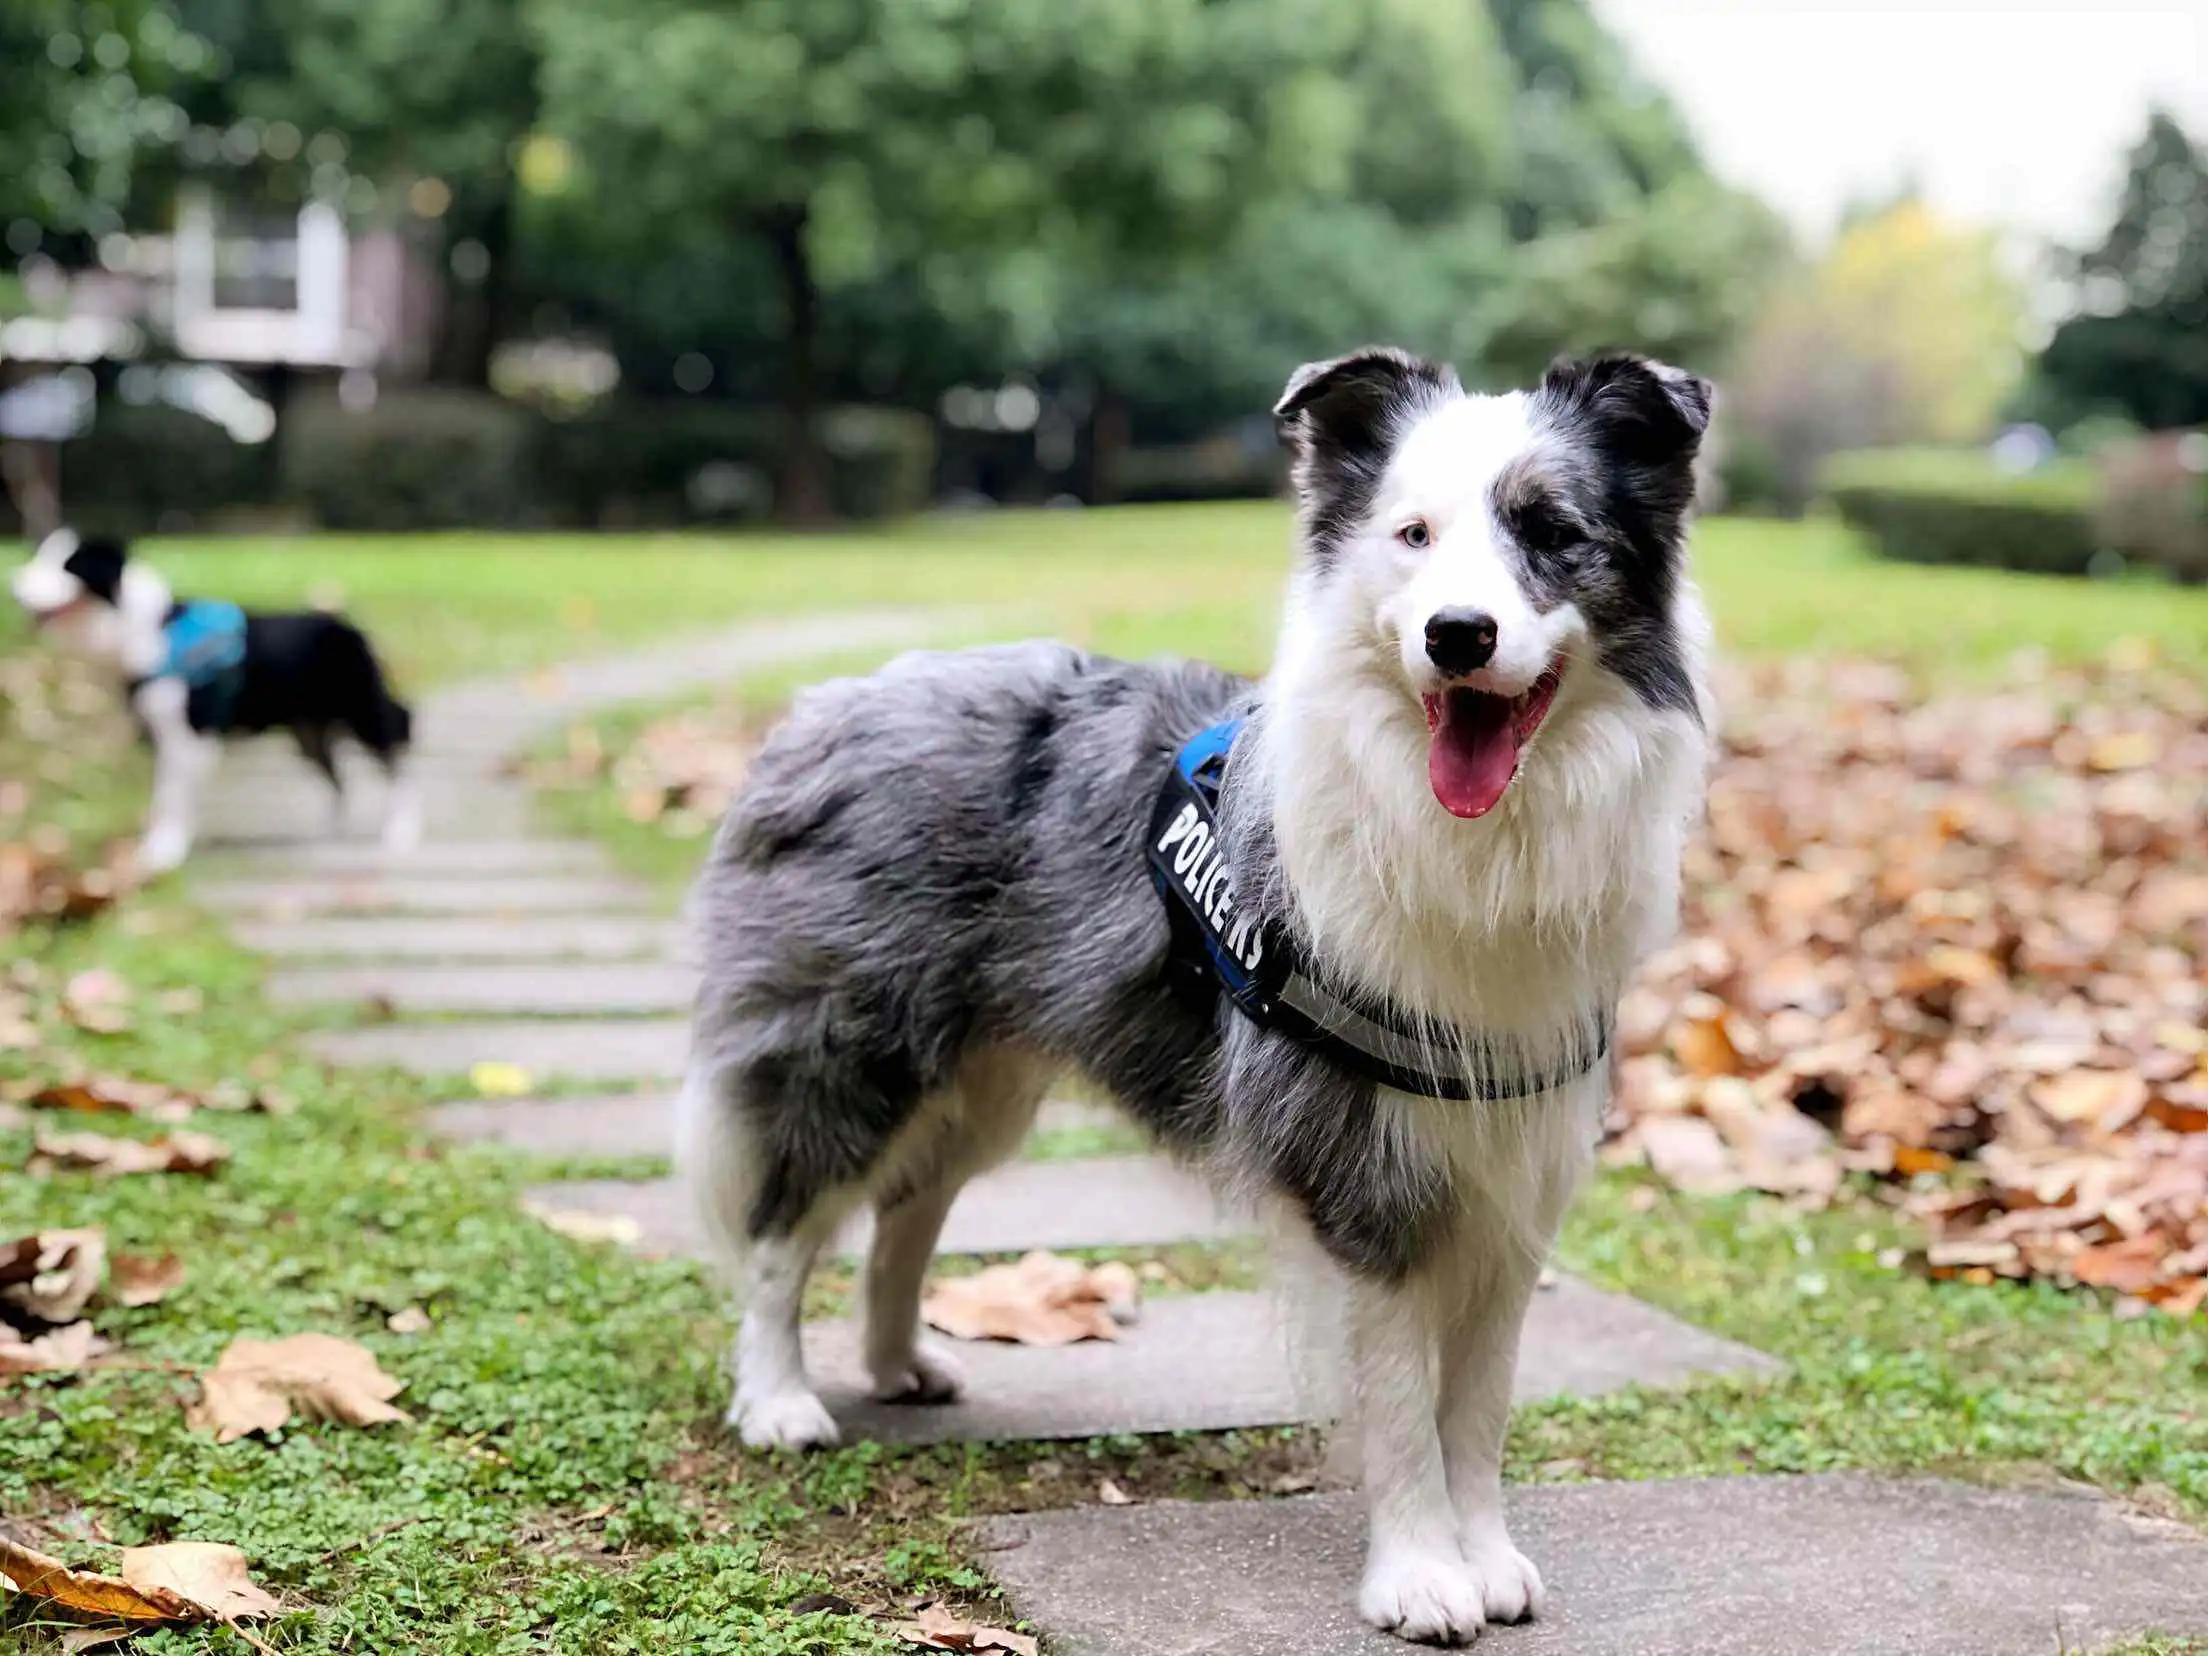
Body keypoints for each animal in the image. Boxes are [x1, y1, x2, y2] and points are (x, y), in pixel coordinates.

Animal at [9, 532, 417, 874]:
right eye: (41, 556)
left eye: (67, 566)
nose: (12, 585)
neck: (147, 631)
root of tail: (349, 628)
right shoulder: (161, 734)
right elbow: (161, 799)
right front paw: (155, 848)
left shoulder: (187, 736)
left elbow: (173, 798)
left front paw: (165, 853)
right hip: (307, 730)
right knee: (337, 778)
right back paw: (328, 831)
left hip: (362, 711)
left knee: (397, 762)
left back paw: (402, 832)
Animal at [680, 351, 1713, 1651]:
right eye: (1412, 535)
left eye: (1551, 533)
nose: (1457, 635)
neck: (1476, 845)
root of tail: (826, 703)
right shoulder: (1360, 1168)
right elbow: (1401, 1399)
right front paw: (1423, 1576)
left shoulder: (1512, 1161)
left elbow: (1478, 1400)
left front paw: (1489, 1558)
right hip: (855, 1044)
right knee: (784, 1224)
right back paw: (777, 1399)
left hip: (981, 1081)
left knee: (905, 1215)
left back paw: (898, 1362)